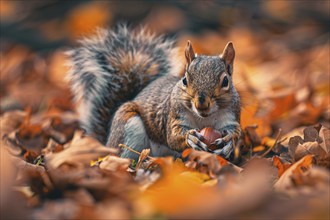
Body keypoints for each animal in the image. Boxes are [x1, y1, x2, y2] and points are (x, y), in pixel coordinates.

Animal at [67, 25, 242, 160]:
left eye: (225, 81)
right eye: (185, 80)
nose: (201, 104)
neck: (204, 119)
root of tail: (108, 143)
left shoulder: (230, 116)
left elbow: (236, 131)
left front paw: (229, 141)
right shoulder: (173, 115)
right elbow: (172, 138)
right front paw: (190, 138)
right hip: (129, 128)